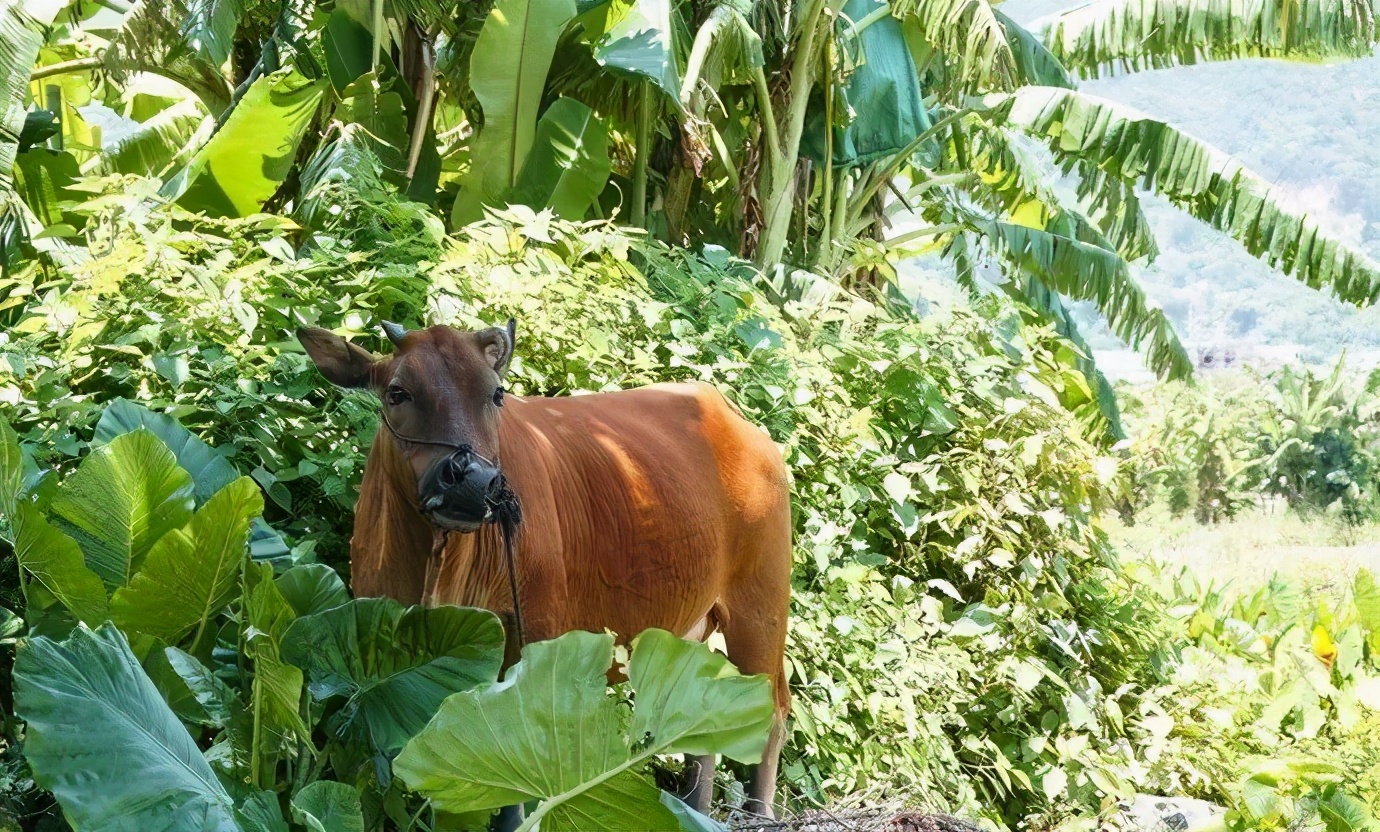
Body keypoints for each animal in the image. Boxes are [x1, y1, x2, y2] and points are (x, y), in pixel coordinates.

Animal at [299, 322, 800, 822]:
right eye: (397, 393)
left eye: (496, 394)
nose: (473, 482)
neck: (437, 573)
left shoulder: (536, 637)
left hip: (760, 605)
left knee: (775, 710)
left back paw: (758, 812)